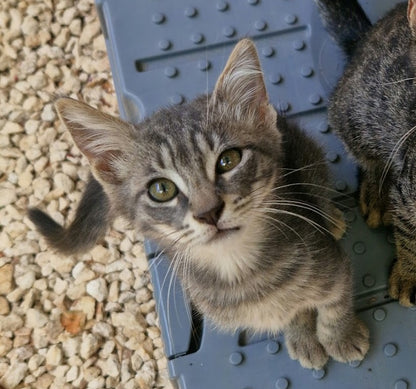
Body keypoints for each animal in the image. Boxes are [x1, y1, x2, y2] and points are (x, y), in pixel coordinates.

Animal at [28, 39, 368, 370]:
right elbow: (293, 313)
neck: (241, 271)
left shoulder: (333, 267)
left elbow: (335, 304)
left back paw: (331, 216)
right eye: (161, 189)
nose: (209, 212)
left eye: (228, 160)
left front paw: (340, 336)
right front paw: (302, 335)